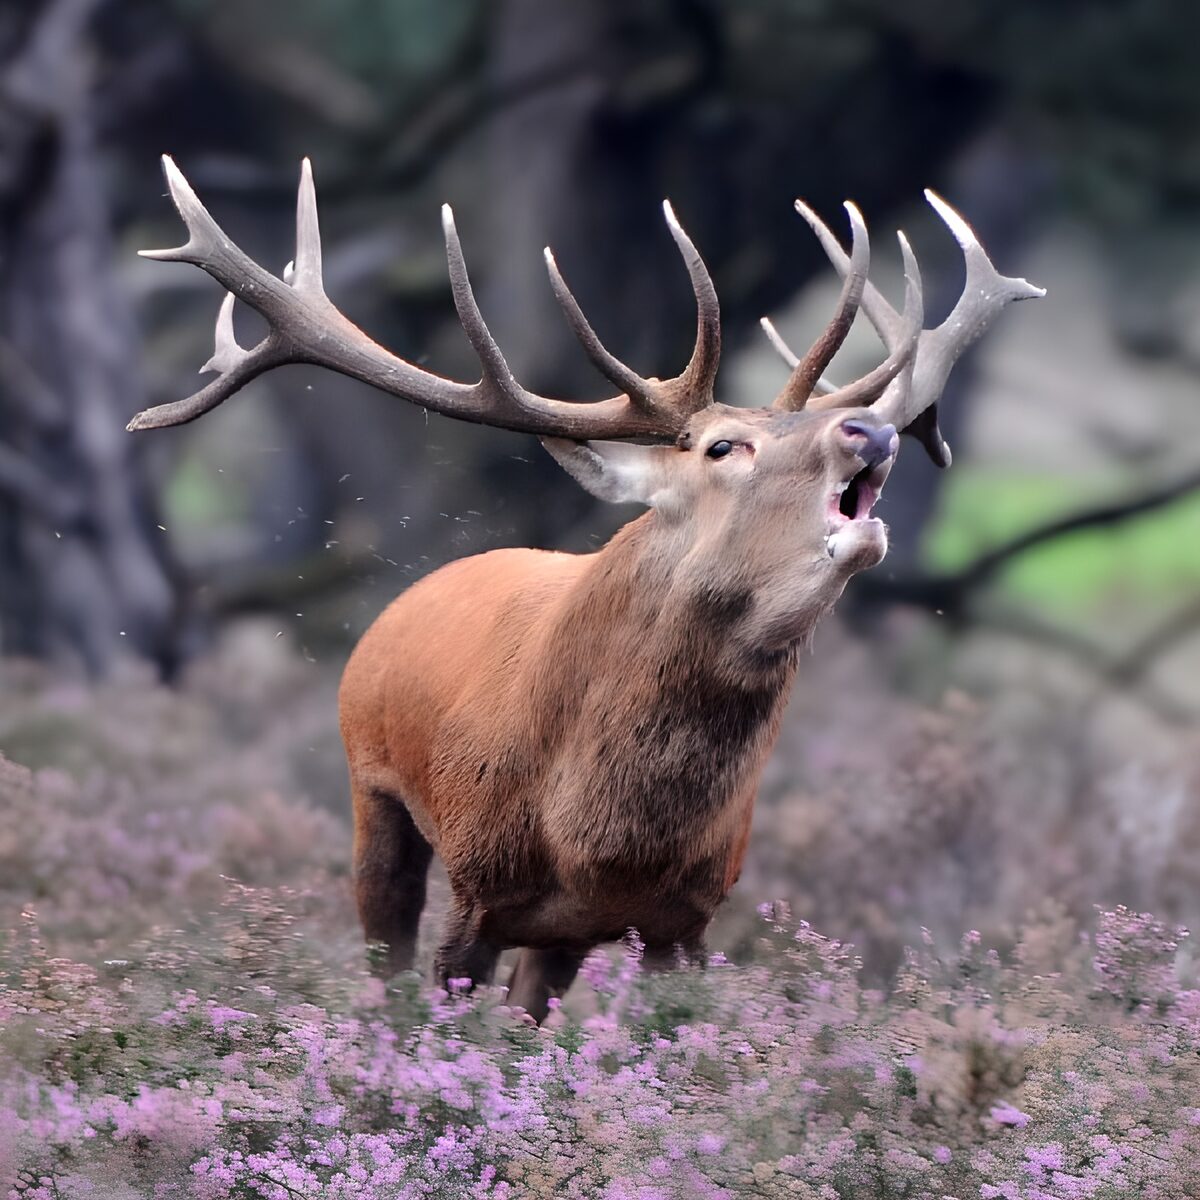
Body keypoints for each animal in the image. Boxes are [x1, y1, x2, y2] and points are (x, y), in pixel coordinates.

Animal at [132, 156, 1042, 1021]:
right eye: (722, 446)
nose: (871, 427)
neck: (605, 839)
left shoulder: (687, 921)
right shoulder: (478, 889)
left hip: (562, 934)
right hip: (373, 789)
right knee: (385, 969)